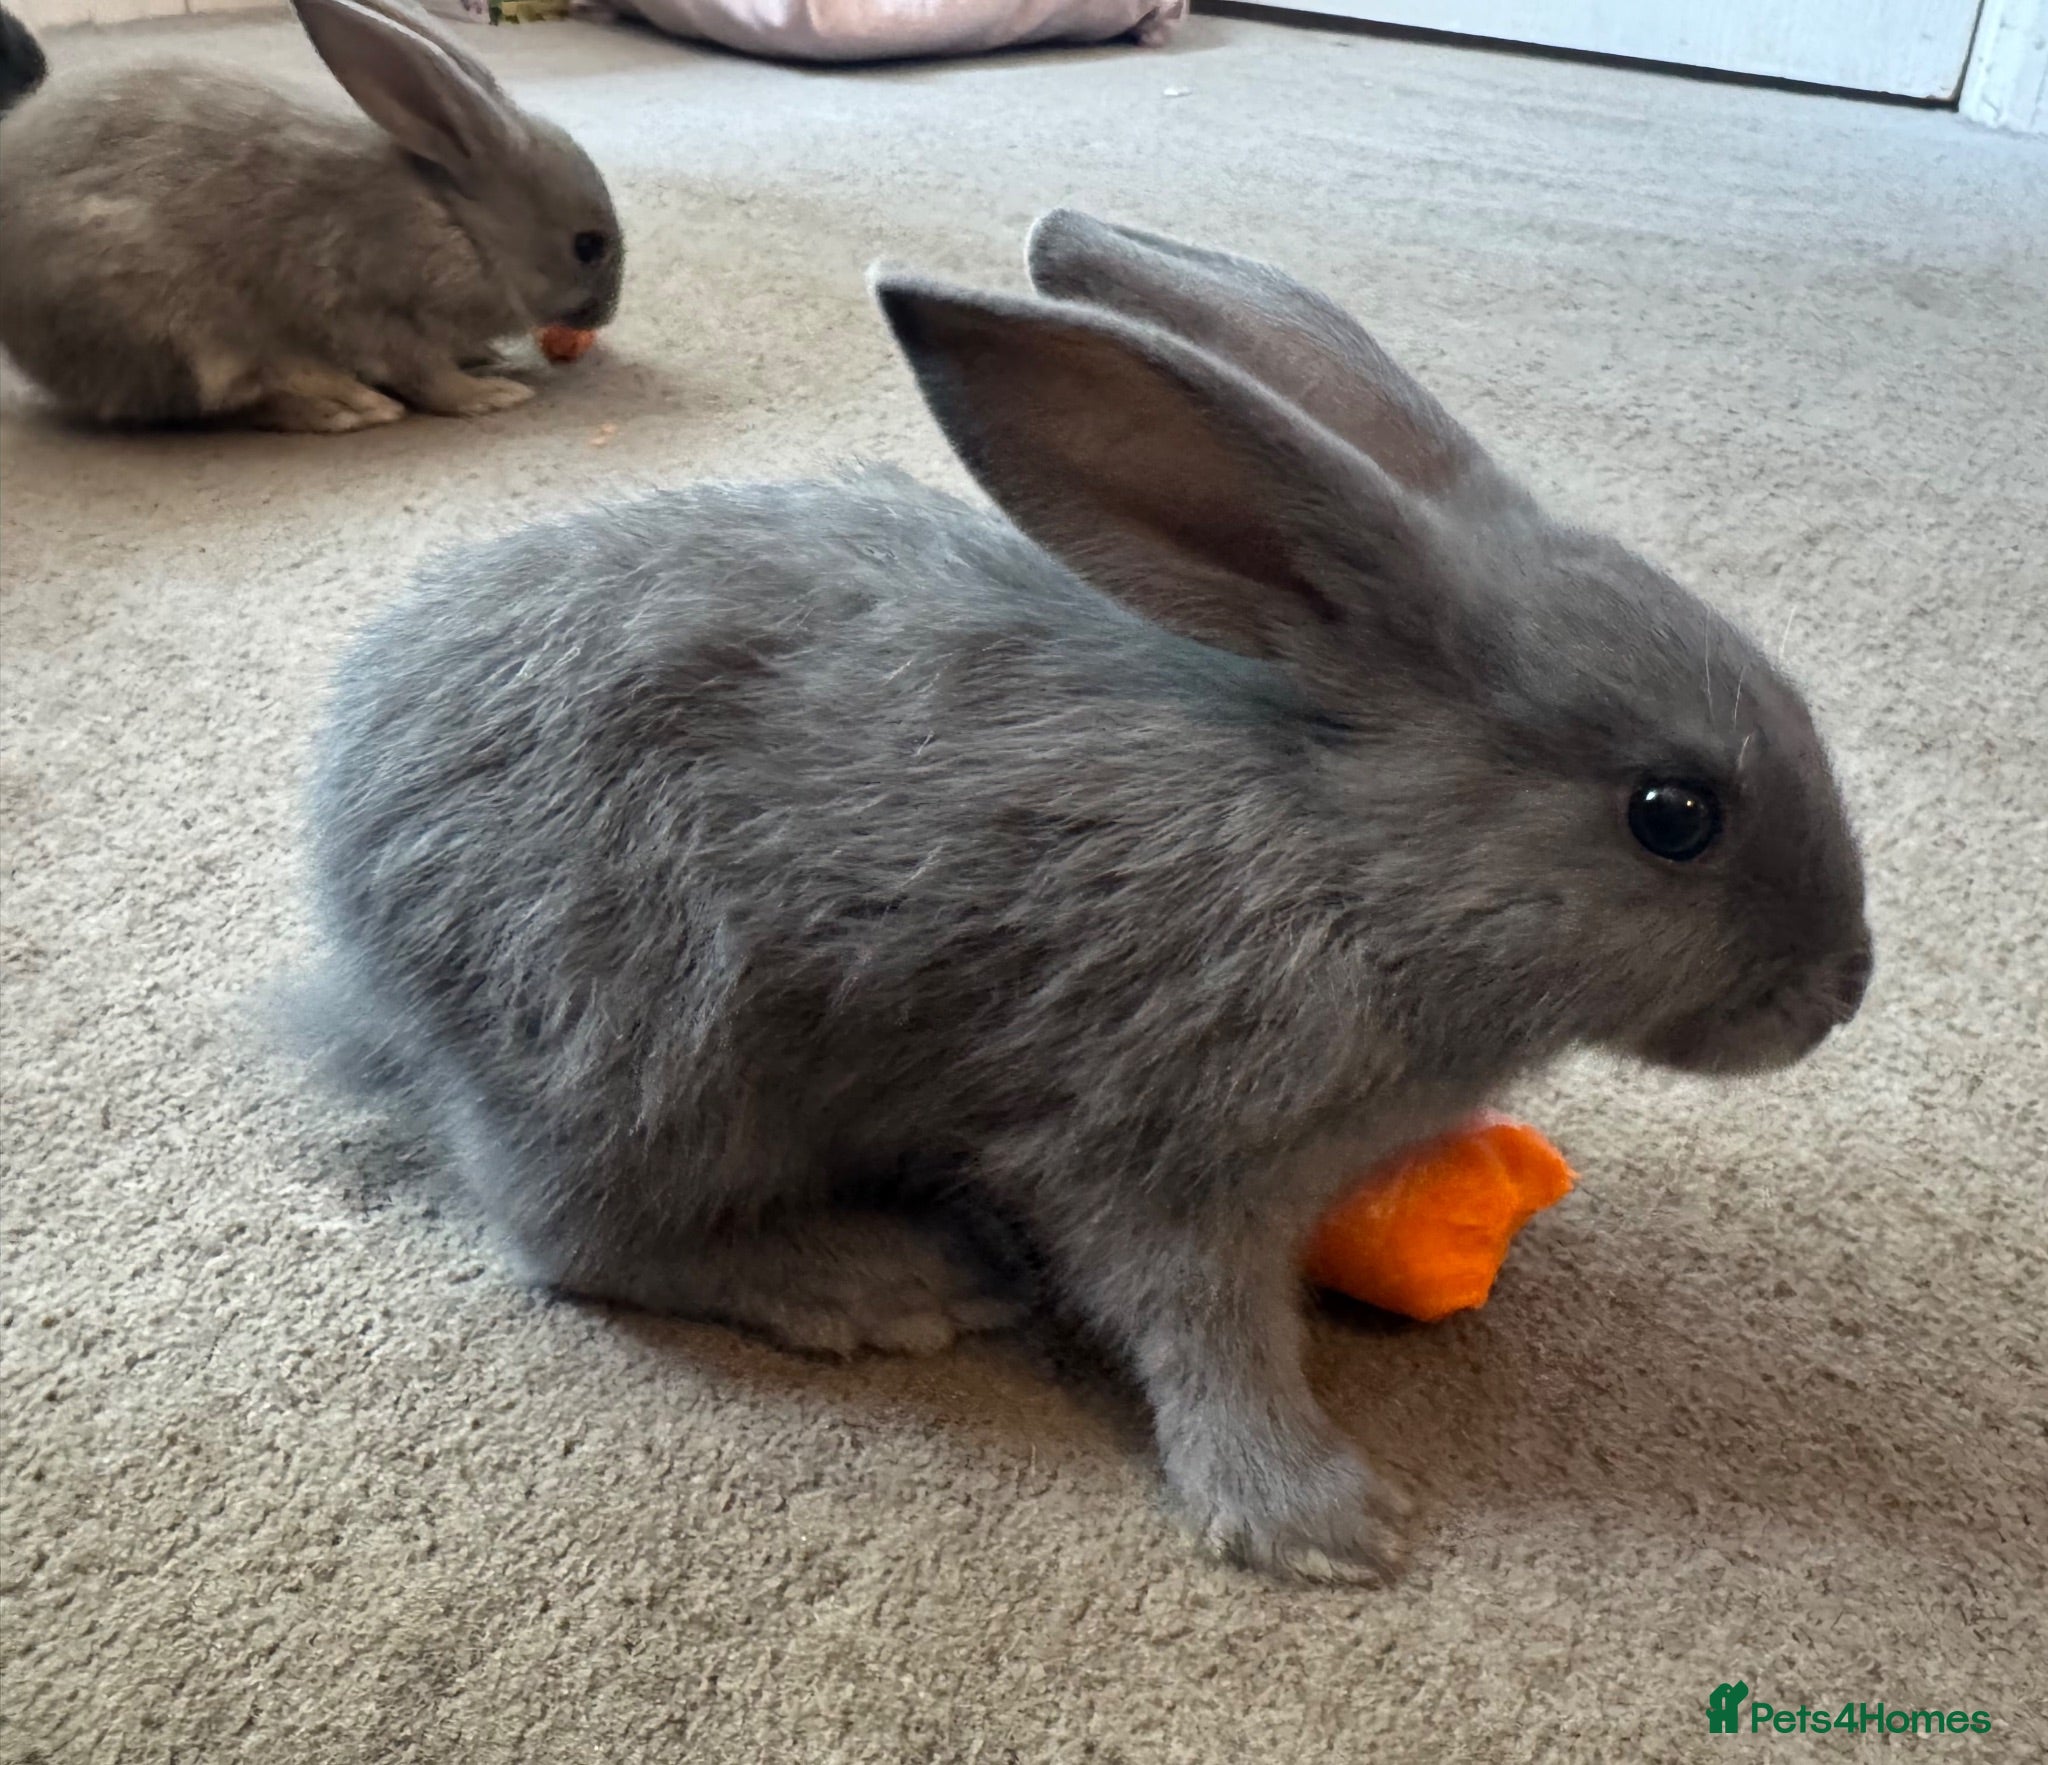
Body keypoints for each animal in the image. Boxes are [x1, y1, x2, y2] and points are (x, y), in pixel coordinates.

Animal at [0, 0, 620, 431]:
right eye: (587, 245)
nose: (605, 311)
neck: (462, 226)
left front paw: (485, 360)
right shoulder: (375, 310)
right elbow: (426, 374)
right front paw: (491, 397)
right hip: (179, 331)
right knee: (239, 401)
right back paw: (350, 408)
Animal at [300, 210, 1872, 1581]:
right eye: (1672, 816)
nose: (1841, 991)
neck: (1348, 853)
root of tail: (355, 919)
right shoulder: (1160, 1136)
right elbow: (1197, 1324)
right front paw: (1318, 1520)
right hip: (649, 1051)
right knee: (574, 1235)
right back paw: (879, 1280)